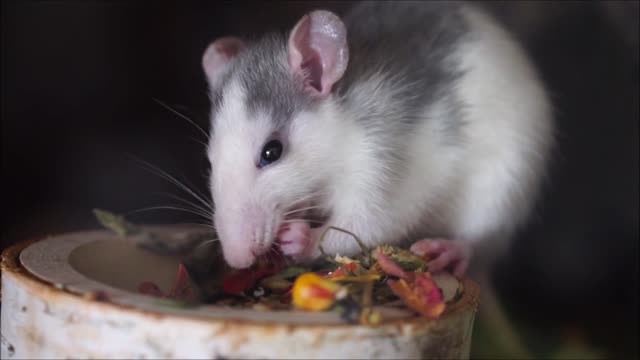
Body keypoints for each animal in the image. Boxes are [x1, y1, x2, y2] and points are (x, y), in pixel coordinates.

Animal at [201, 0, 556, 278]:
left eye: (272, 151)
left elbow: (372, 222)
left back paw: (451, 249)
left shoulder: (377, 161)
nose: (236, 258)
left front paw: (303, 239)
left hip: (504, 190)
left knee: (479, 237)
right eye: (211, 161)